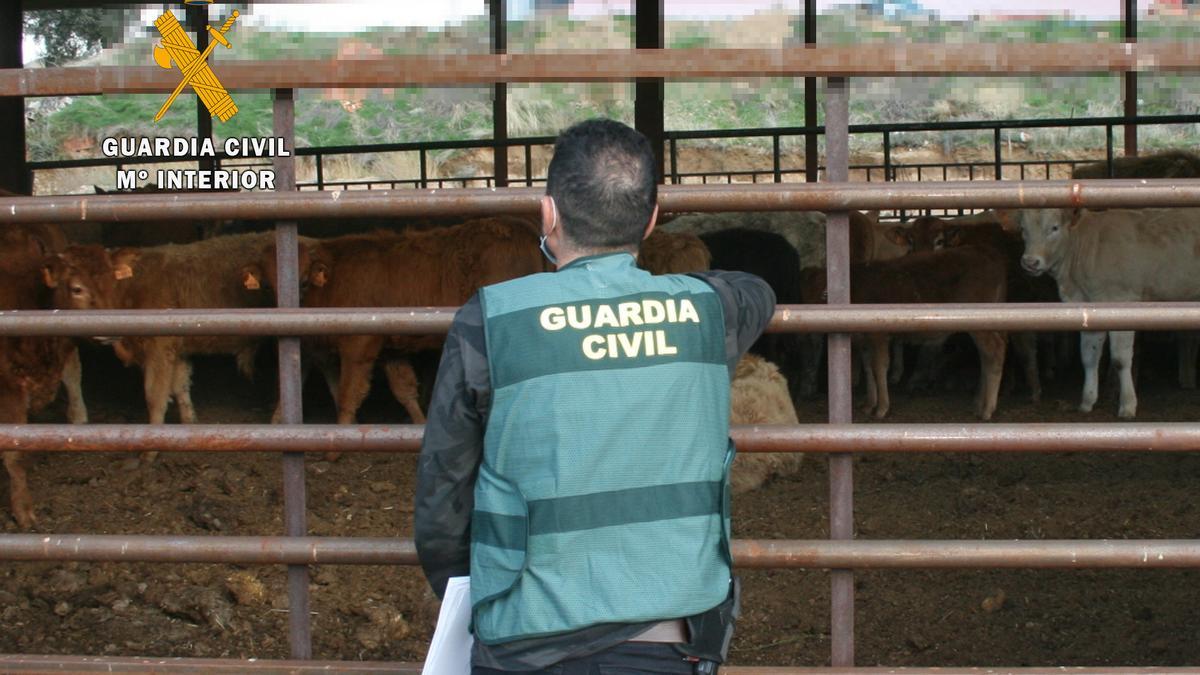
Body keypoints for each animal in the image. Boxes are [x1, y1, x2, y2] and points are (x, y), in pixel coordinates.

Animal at [42, 233, 274, 461]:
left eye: (111, 284)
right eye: (77, 289)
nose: (108, 332)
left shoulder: (159, 349)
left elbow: (155, 395)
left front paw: (150, 449)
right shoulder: (176, 350)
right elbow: (180, 385)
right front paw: (190, 423)